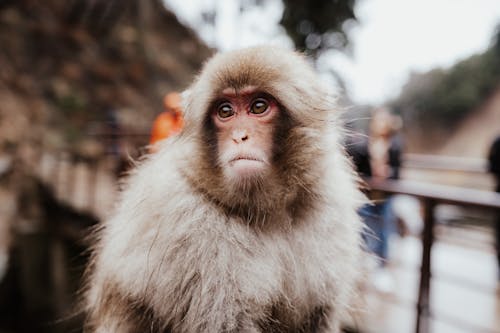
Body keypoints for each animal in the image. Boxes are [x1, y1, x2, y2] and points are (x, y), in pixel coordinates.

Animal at [83, 45, 368, 330]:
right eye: (225, 111)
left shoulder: (330, 213)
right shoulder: (194, 233)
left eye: (259, 106)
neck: (267, 214)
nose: (239, 136)